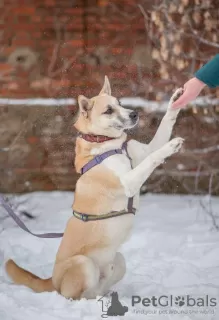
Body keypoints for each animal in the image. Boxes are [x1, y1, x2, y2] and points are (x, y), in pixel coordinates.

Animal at [4, 77, 183, 300]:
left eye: (120, 102)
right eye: (108, 110)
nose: (134, 114)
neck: (107, 144)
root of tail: (52, 281)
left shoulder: (144, 151)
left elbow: (163, 127)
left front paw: (176, 100)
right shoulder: (128, 182)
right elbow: (152, 158)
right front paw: (171, 146)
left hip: (119, 261)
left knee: (99, 288)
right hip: (83, 264)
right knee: (73, 296)